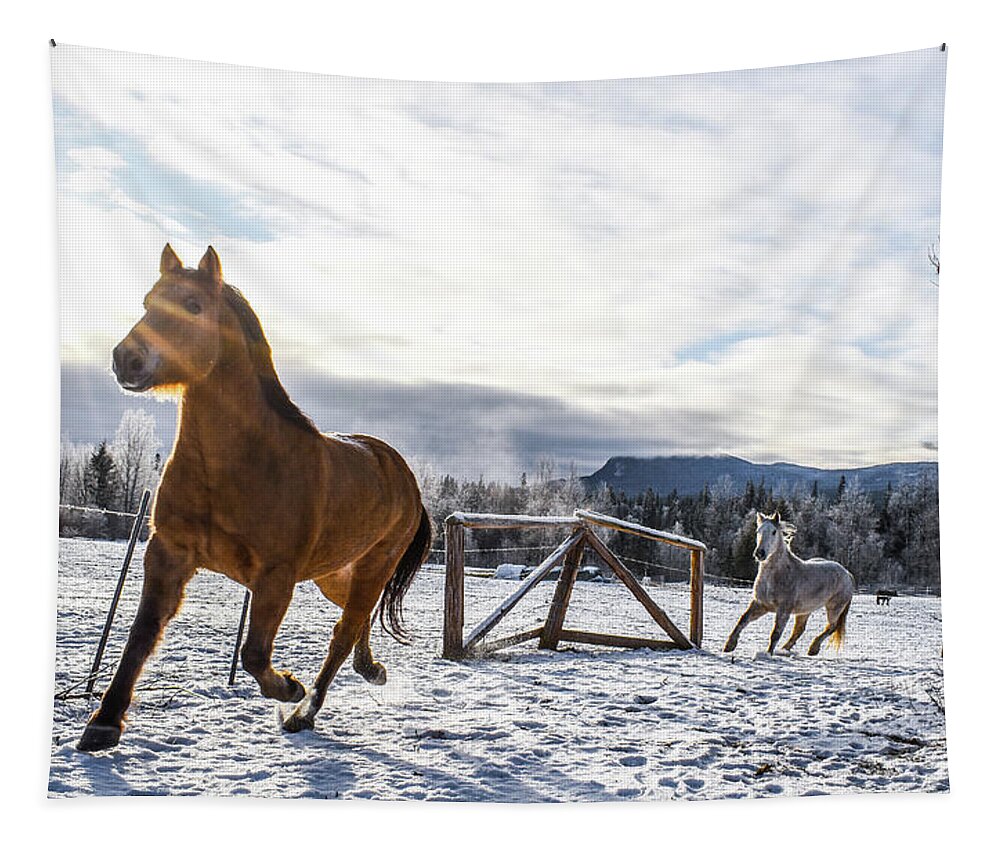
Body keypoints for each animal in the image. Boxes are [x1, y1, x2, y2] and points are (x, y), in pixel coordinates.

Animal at [80, 243, 432, 748]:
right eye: (147, 302)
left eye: (193, 306)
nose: (127, 359)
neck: (242, 464)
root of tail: (405, 479)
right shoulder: (168, 553)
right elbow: (142, 633)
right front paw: (104, 722)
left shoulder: (275, 577)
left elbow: (253, 654)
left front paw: (288, 687)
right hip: (333, 574)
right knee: (356, 620)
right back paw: (371, 670)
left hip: (373, 568)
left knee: (343, 634)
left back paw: (304, 712)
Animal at [724, 512, 856, 660]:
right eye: (758, 531)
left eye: (774, 532)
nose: (760, 553)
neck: (776, 576)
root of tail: (847, 573)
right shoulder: (760, 605)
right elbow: (743, 620)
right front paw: (729, 646)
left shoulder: (783, 610)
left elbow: (776, 633)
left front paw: (768, 654)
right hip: (805, 610)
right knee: (799, 630)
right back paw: (784, 650)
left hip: (834, 607)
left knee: (832, 626)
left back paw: (813, 649)